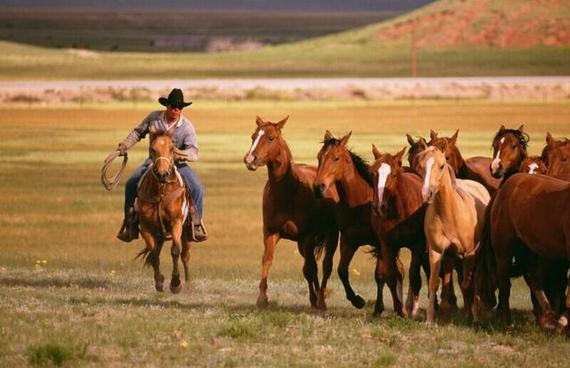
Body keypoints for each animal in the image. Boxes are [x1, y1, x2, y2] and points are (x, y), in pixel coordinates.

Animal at [135, 126, 193, 294]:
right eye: (153, 149)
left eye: (172, 148)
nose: (162, 174)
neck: (160, 192)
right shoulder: (146, 227)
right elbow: (154, 254)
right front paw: (159, 281)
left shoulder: (176, 222)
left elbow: (175, 250)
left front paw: (175, 283)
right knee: (156, 251)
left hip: (186, 231)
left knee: (185, 254)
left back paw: (189, 283)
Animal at [241, 115, 338, 310]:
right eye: (253, 136)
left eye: (271, 138)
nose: (250, 159)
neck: (287, 192)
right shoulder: (271, 233)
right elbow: (267, 261)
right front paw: (262, 299)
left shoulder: (307, 237)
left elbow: (310, 269)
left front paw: (317, 300)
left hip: (331, 236)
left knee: (325, 265)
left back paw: (321, 299)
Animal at [310, 132, 404, 316]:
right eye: (319, 157)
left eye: (336, 158)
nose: (318, 187)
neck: (359, 203)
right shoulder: (349, 241)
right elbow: (342, 270)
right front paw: (358, 301)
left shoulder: (380, 244)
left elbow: (381, 275)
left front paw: (382, 308)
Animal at [366, 145, 428, 318]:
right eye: (372, 173)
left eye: (393, 175)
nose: (378, 206)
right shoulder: (387, 244)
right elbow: (391, 276)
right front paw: (400, 310)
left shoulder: (418, 245)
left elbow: (415, 277)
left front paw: (412, 311)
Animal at [412, 147, 488, 322]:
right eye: (421, 166)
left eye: (441, 166)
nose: (426, 193)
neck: (451, 214)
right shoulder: (436, 252)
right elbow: (433, 283)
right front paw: (429, 319)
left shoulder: (470, 253)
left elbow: (470, 283)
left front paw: (474, 317)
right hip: (453, 257)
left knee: (475, 280)